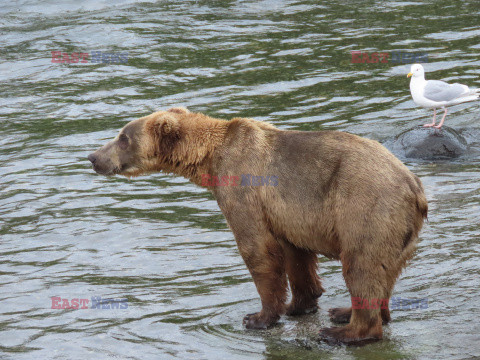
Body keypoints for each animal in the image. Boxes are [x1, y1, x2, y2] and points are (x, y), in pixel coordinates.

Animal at [87, 108, 428, 344]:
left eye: (123, 137)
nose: (92, 156)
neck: (209, 159)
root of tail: (415, 188)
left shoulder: (243, 187)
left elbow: (258, 250)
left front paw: (258, 317)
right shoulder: (286, 213)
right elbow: (296, 255)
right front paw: (299, 303)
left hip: (366, 208)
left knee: (361, 265)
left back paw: (343, 331)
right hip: (398, 229)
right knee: (384, 272)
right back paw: (346, 312)